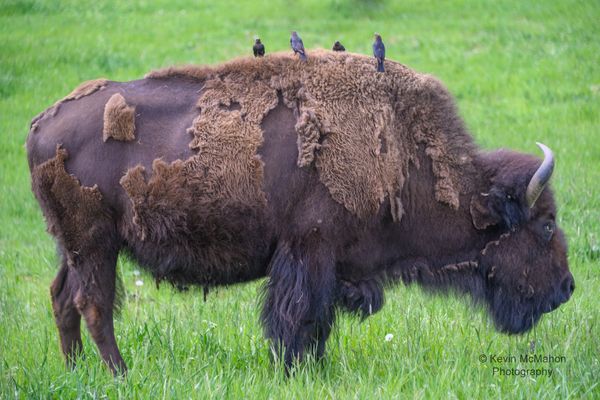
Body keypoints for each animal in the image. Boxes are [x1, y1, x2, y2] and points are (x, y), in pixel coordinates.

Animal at [25, 50, 576, 376]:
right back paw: (120, 374)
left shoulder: (327, 264)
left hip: (73, 247)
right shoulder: (309, 252)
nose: (568, 288)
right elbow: (298, 317)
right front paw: (294, 370)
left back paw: (75, 372)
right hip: (95, 242)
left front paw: (314, 367)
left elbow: (318, 321)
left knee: (62, 297)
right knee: (94, 305)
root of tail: (41, 123)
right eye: (546, 224)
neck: (398, 154)